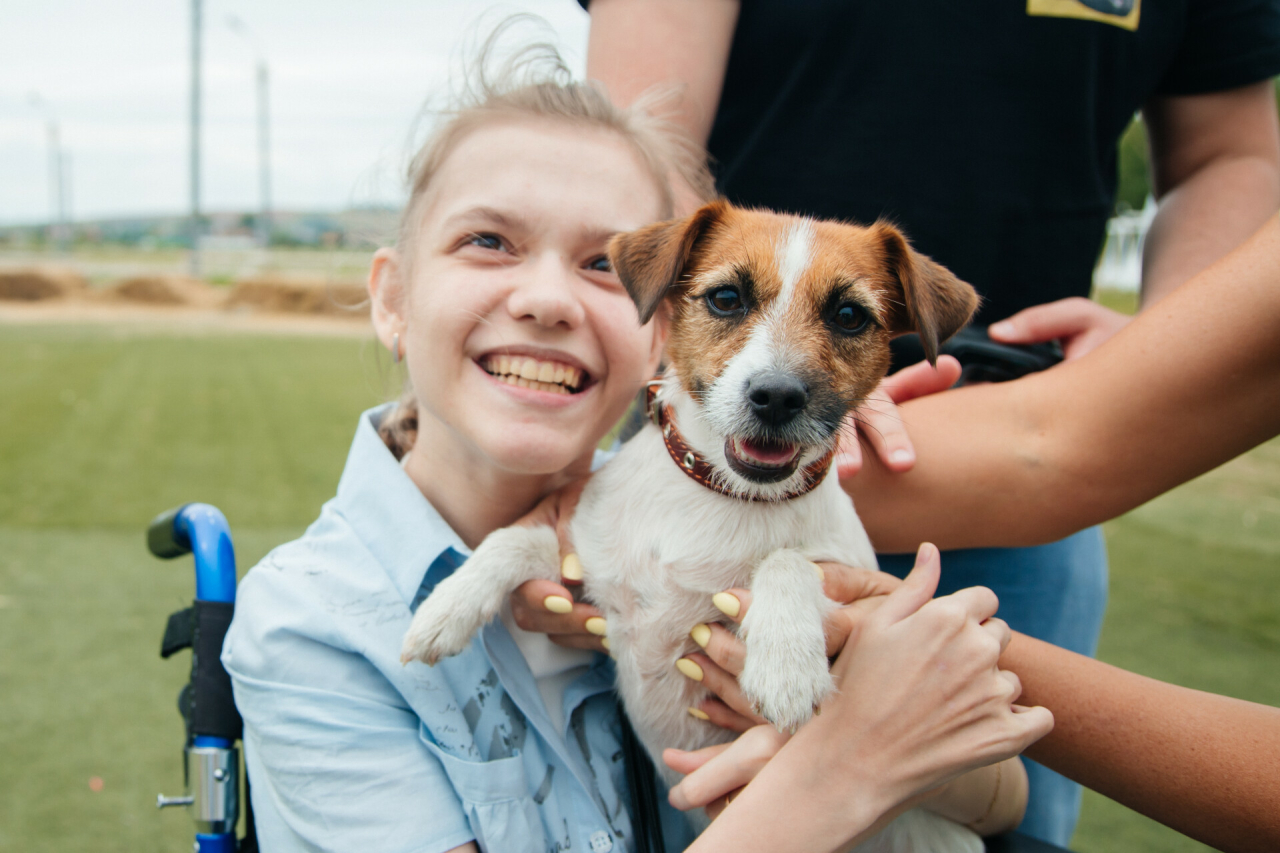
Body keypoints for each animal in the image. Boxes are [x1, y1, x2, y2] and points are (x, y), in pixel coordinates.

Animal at [399, 201, 977, 850]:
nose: (777, 396)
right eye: (726, 298)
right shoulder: (590, 580)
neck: (724, 495)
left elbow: (788, 559)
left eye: (849, 316)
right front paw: (445, 607)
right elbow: (518, 538)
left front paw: (785, 662)